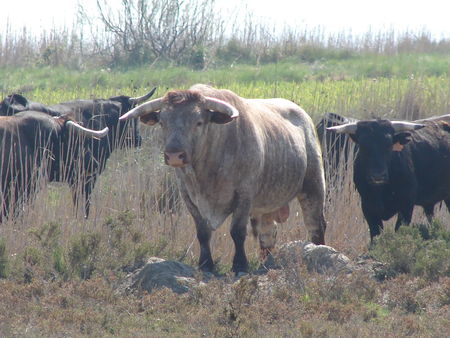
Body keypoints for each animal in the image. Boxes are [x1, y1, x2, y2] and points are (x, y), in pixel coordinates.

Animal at [119, 84, 326, 274]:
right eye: (162, 122)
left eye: (198, 122)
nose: (174, 155)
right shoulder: (188, 197)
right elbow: (202, 232)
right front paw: (206, 264)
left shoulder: (244, 195)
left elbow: (237, 232)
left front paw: (240, 265)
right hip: (267, 205)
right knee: (268, 235)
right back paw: (266, 264)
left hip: (313, 186)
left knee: (315, 225)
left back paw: (319, 252)